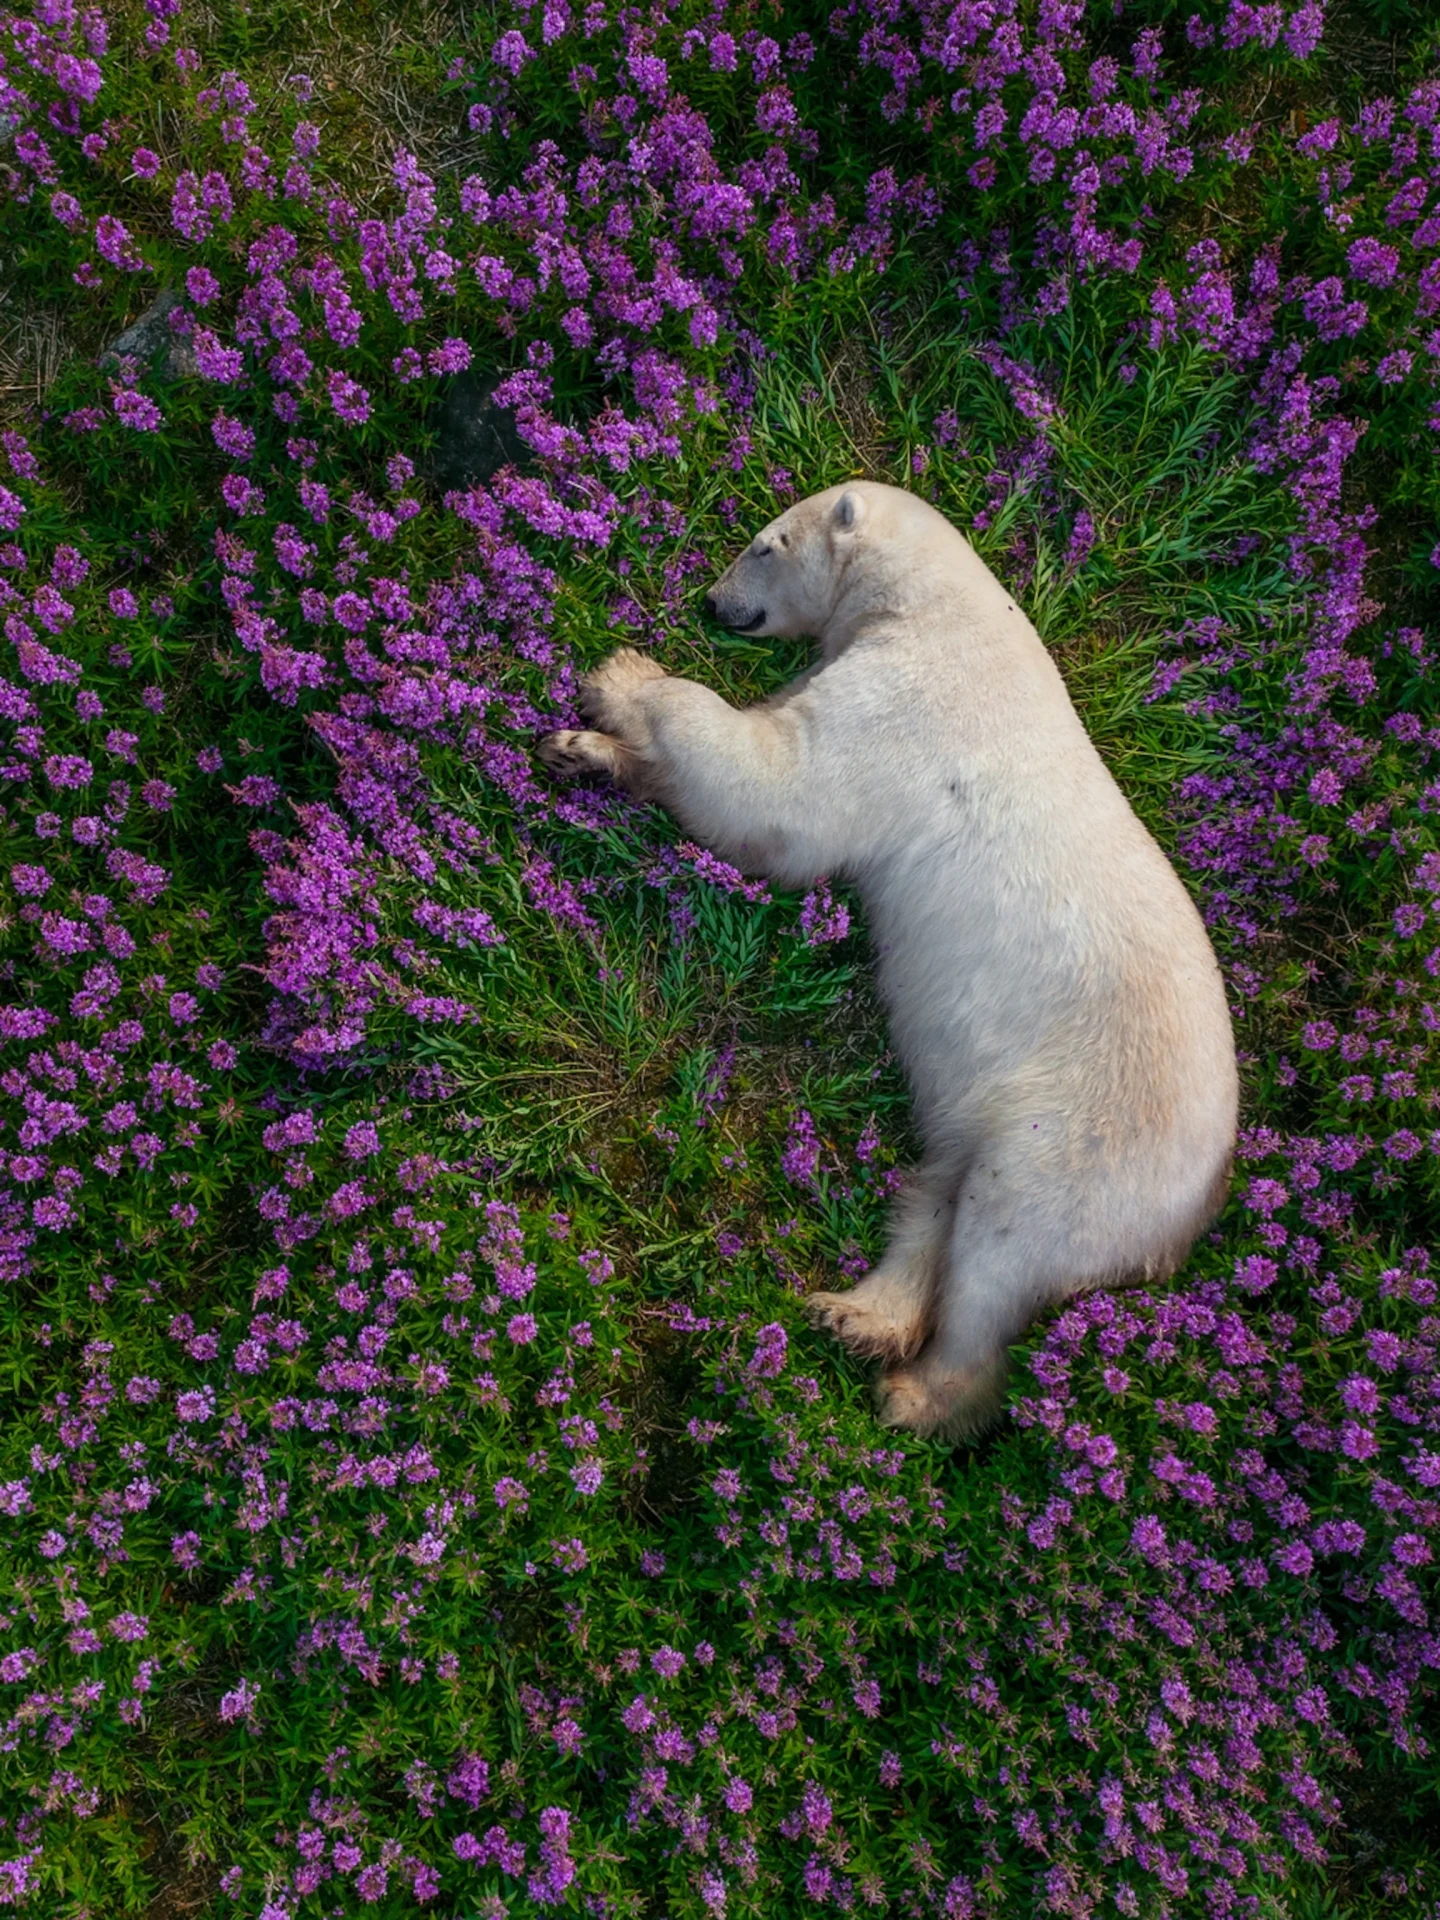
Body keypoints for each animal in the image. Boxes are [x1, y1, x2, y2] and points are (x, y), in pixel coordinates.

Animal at [541, 483, 1244, 1443]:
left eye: (764, 544)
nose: (712, 604)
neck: (937, 606)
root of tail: (1199, 1208)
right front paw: (580, 750)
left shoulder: (908, 705)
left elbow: (778, 785)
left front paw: (620, 676)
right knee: (935, 1194)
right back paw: (854, 1313)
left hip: (1084, 1139)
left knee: (1001, 1245)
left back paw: (916, 1394)